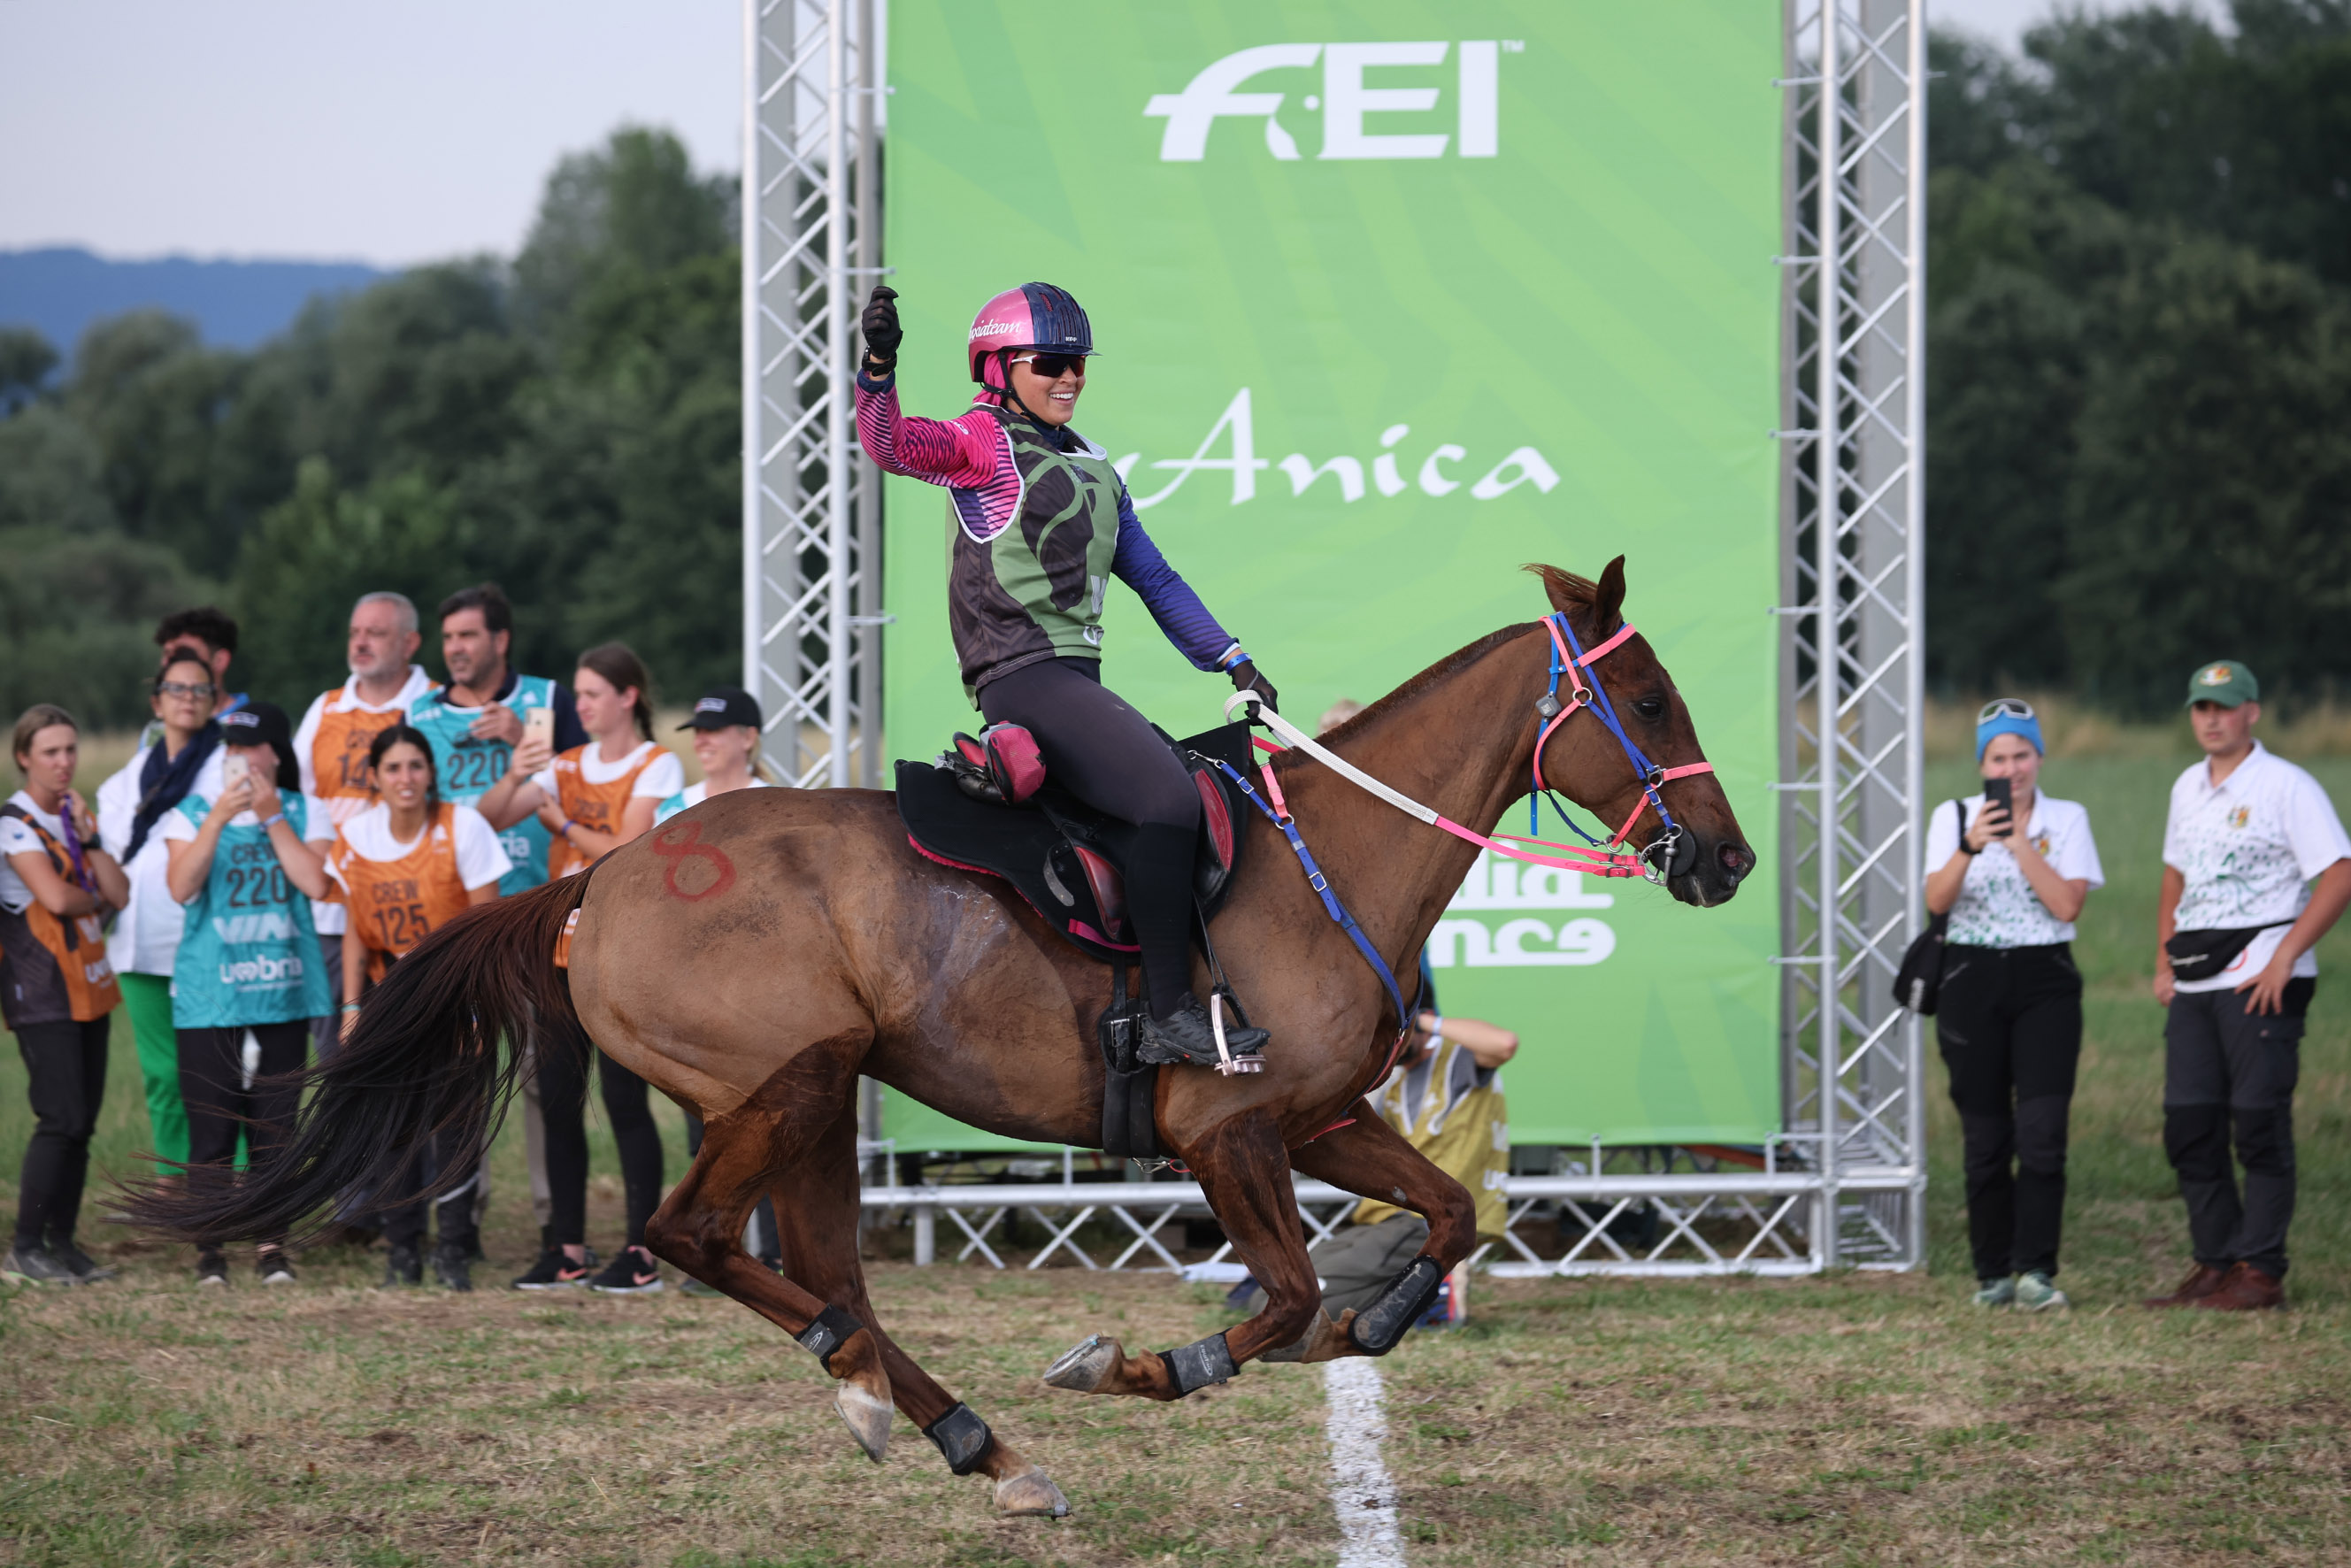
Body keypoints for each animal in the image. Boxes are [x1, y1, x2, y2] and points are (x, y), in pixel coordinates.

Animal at [133, 554, 1748, 1523]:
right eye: (1647, 694)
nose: (1725, 860)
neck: (1323, 859)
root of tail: (604, 874)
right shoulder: (1222, 1132)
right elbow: (1280, 1295)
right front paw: (1147, 1365)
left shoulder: (1321, 1118)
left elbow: (1445, 1214)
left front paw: (1379, 1320)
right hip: (780, 1086)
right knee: (688, 1234)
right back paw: (892, 1394)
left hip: (813, 1103)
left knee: (819, 1267)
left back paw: (959, 1435)